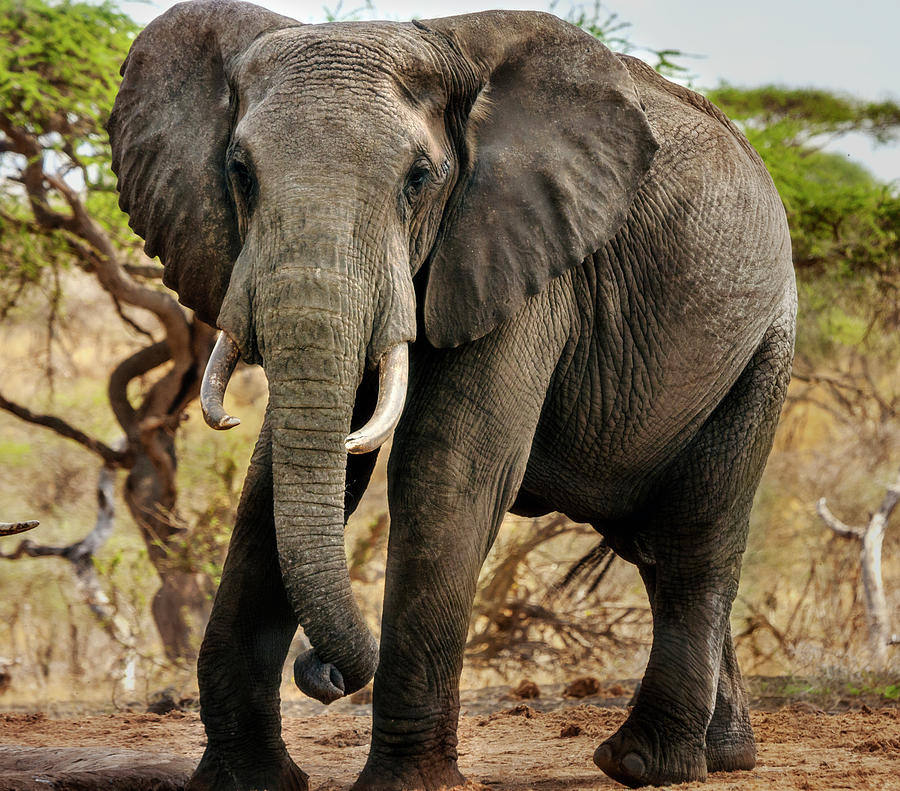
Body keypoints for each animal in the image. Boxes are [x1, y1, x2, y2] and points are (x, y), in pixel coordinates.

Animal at [107, 3, 796, 788]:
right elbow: (274, 479)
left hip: (763, 347)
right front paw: (244, 781)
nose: (324, 674)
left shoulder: (526, 253)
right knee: (652, 547)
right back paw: (722, 755)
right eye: (239, 174)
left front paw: (406, 785)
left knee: (693, 544)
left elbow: (448, 466)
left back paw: (643, 762)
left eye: (418, 179)